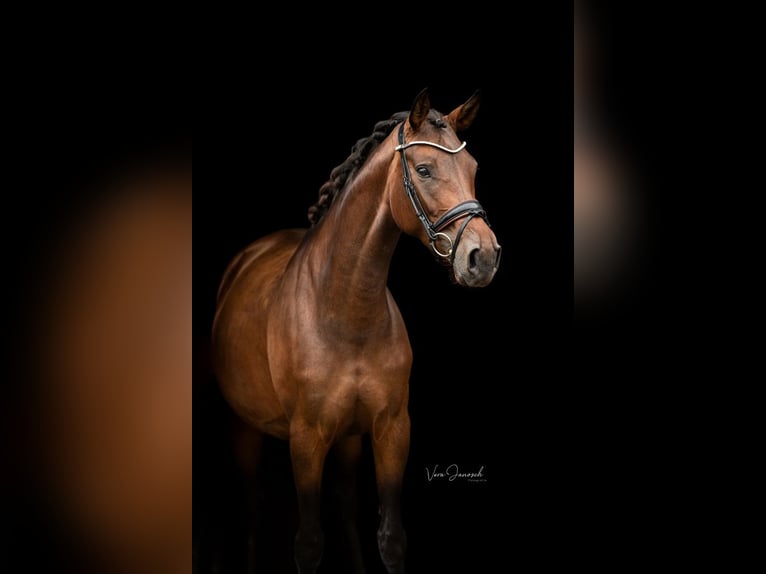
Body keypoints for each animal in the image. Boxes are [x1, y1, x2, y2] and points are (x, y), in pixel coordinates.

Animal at [212, 89, 501, 574]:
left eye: (474, 168)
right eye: (424, 169)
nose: (484, 257)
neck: (346, 313)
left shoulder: (392, 429)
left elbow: (391, 538)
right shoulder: (306, 438)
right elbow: (309, 543)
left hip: (347, 440)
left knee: (345, 505)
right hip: (243, 428)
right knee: (250, 509)